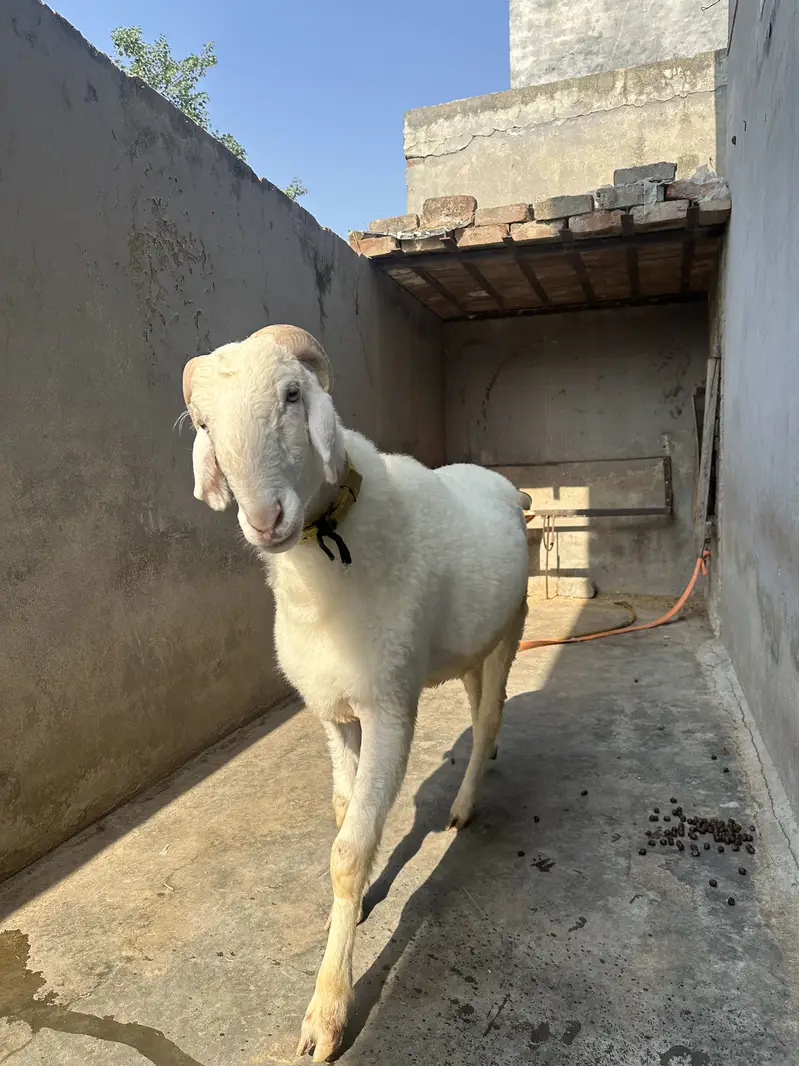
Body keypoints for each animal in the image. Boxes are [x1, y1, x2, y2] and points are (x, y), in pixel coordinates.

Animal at [182, 324, 530, 1061]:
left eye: (292, 393)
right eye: (203, 424)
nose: (265, 519)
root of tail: (499, 484)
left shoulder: (389, 706)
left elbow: (348, 851)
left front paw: (327, 1008)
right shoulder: (332, 713)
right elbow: (345, 814)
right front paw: (358, 901)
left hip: (510, 627)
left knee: (489, 717)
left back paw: (463, 806)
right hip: (467, 644)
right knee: (478, 703)